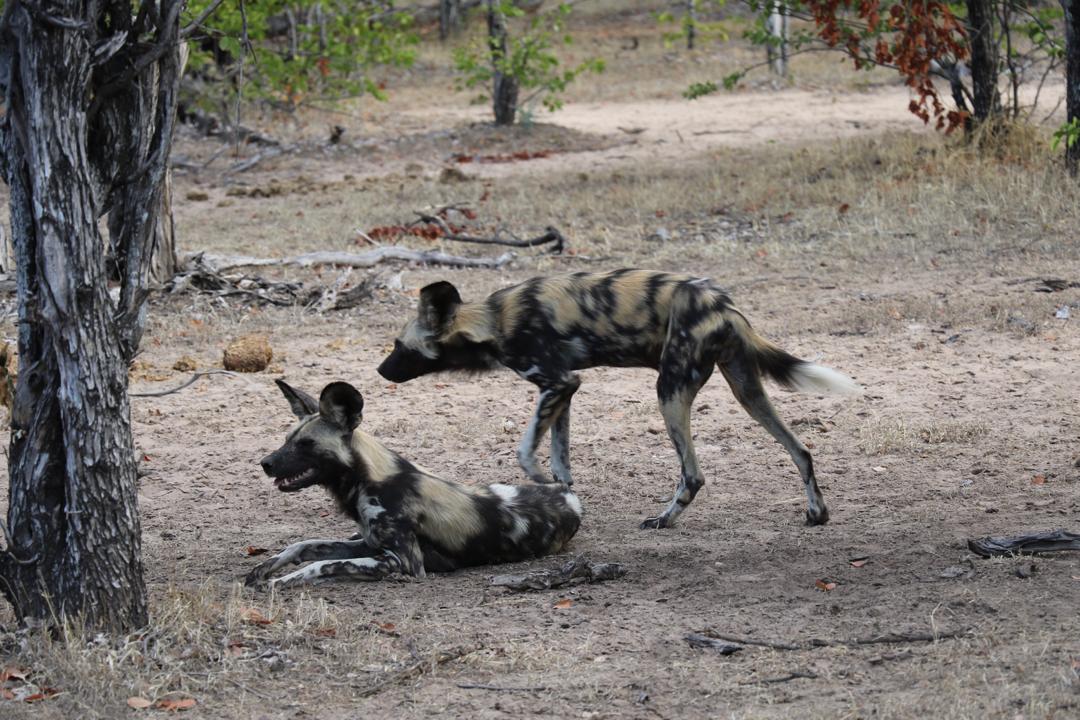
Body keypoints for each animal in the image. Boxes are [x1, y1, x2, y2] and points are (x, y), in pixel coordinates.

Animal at [246, 379, 583, 587]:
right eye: (287, 439)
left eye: (306, 444)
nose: (265, 463)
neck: (367, 482)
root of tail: (567, 494)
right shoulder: (368, 542)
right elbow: (303, 545)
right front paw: (264, 569)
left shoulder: (403, 562)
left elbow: (322, 565)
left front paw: (279, 582)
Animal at [380, 268, 859, 528]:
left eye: (399, 346)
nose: (381, 371)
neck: (495, 321)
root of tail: (723, 305)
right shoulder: (563, 390)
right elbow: (561, 459)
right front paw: (561, 494)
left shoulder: (557, 383)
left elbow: (525, 451)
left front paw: (538, 480)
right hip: (747, 390)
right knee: (800, 450)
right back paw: (817, 512)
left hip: (669, 392)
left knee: (693, 475)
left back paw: (663, 520)